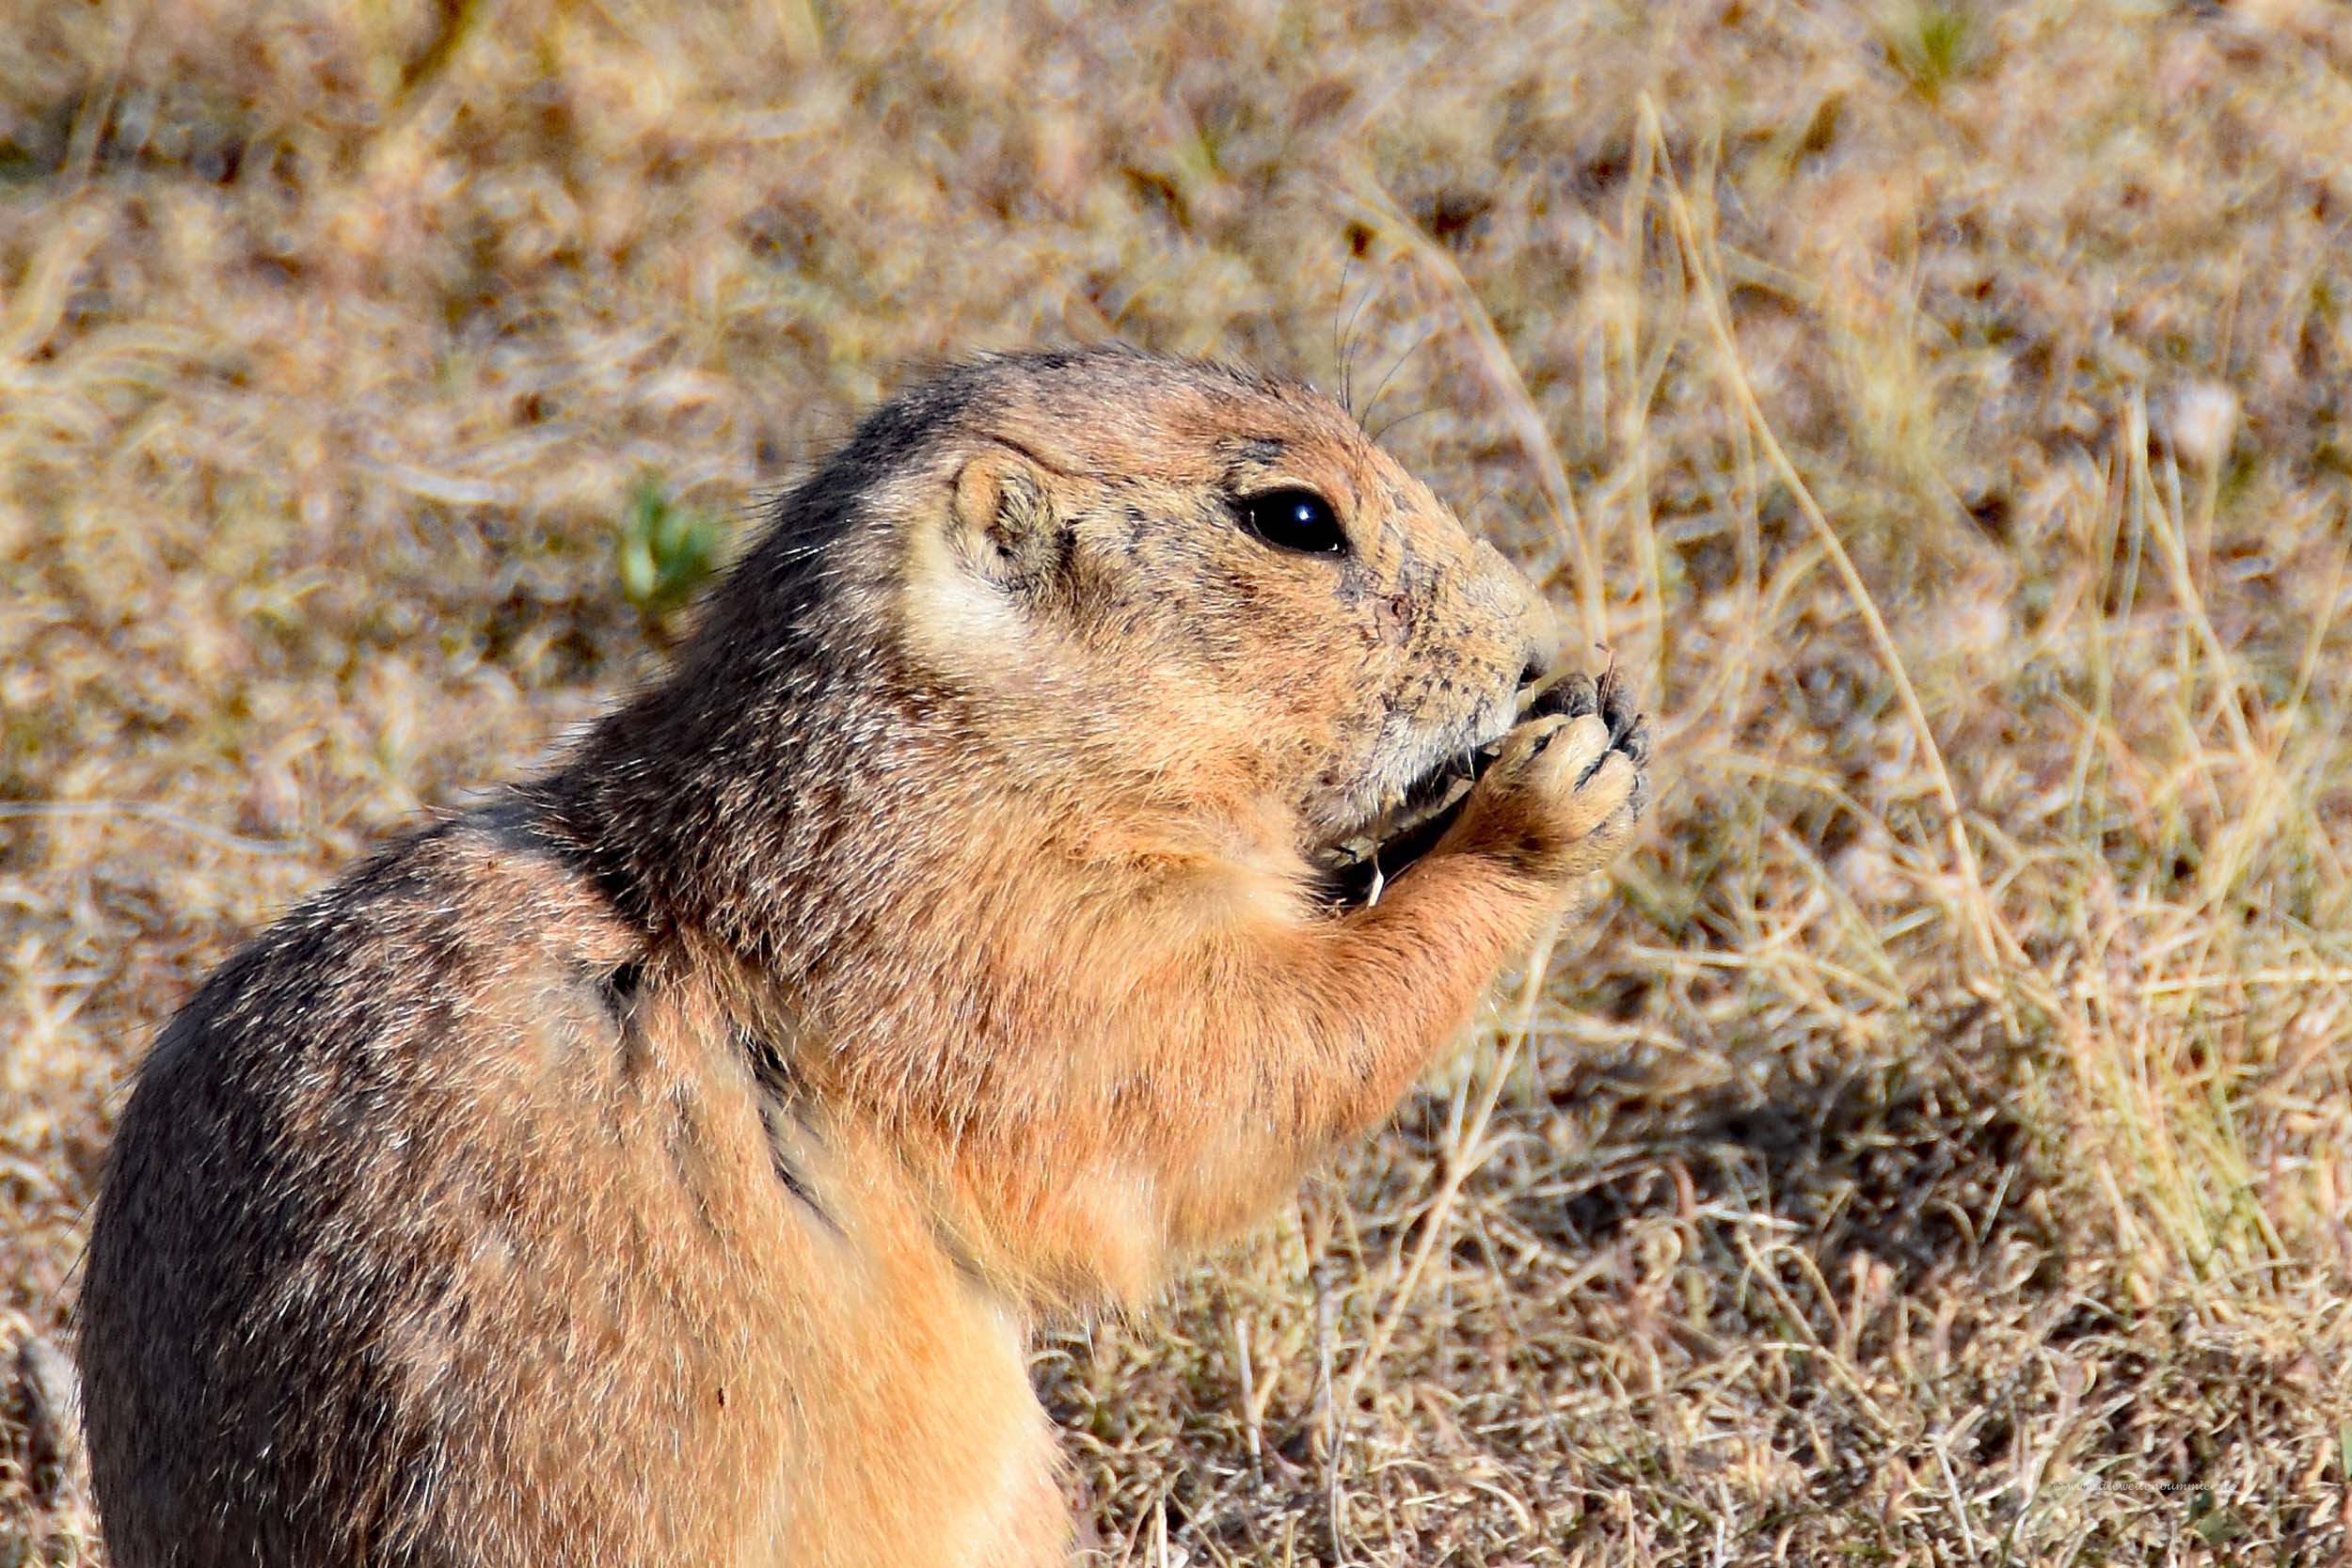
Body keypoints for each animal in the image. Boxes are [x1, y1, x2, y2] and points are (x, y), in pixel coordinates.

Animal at [79, 347, 1650, 1567]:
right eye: (1297, 517)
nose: (1547, 651)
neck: (977, 749)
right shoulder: (1011, 941)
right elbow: (1220, 1067)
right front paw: (1557, 784)